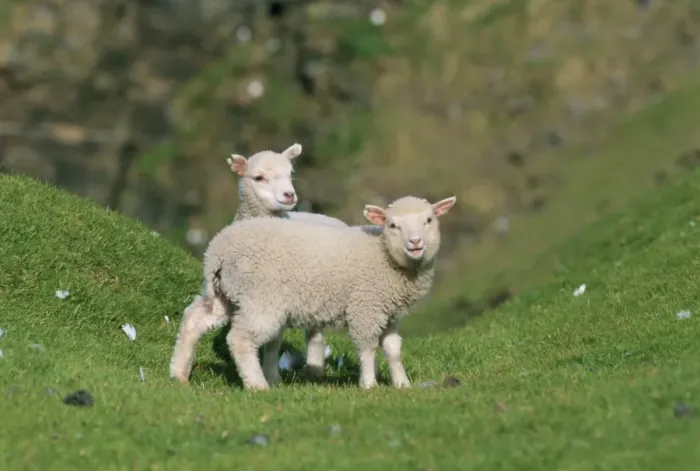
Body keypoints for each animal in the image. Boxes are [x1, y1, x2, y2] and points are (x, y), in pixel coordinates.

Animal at [169, 143, 345, 383]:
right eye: (258, 177)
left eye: (290, 174)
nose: (289, 195)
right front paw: (271, 377)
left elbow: (274, 342)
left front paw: (272, 376)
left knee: (315, 333)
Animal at [176, 194, 457, 390]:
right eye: (393, 225)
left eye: (429, 220)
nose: (415, 243)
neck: (383, 255)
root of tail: (217, 249)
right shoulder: (365, 307)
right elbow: (367, 347)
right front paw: (369, 384)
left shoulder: (389, 312)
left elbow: (393, 348)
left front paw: (402, 384)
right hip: (260, 298)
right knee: (240, 339)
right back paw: (257, 385)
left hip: (227, 293)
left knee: (195, 318)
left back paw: (179, 373)